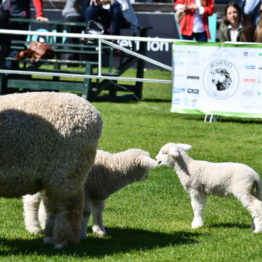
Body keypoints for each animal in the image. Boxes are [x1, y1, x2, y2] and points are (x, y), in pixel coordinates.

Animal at [0, 91, 102, 248]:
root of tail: (94, 113)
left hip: (68, 171)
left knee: (69, 208)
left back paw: (62, 242)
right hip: (53, 177)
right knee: (53, 208)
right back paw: (50, 237)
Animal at [23, 148, 158, 238]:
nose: (147, 177)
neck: (113, 168)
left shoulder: (98, 193)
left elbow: (98, 212)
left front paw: (99, 231)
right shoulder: (85, 191)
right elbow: (86, 212)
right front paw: (82, 234)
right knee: (31, 203)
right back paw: (34, 228)